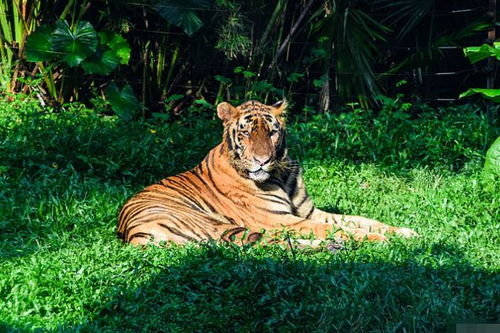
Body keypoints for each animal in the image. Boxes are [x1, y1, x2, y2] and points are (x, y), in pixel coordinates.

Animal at [116, 100, 414, 248]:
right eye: (246, 133)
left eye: (272, 132)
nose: (263, 161)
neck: (279, 174)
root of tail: (132, 235)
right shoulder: (279, 219)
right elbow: (337, 227)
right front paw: (382, 238)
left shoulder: (308, 213)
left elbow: (361, 220)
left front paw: (405, 231)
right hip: (219, 225)